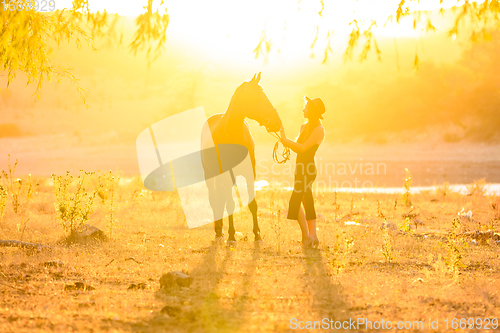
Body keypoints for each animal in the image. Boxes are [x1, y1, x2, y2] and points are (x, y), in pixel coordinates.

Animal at [201, 72, 284, 243]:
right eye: (257, 98)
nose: (277, 122)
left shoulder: (249, 173)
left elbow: (252, 204)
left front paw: (257, 234)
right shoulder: (226, 175)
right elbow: (230, 204)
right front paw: (232, 235)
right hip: (211, 175)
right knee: (215, 199)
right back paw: (219, 231)